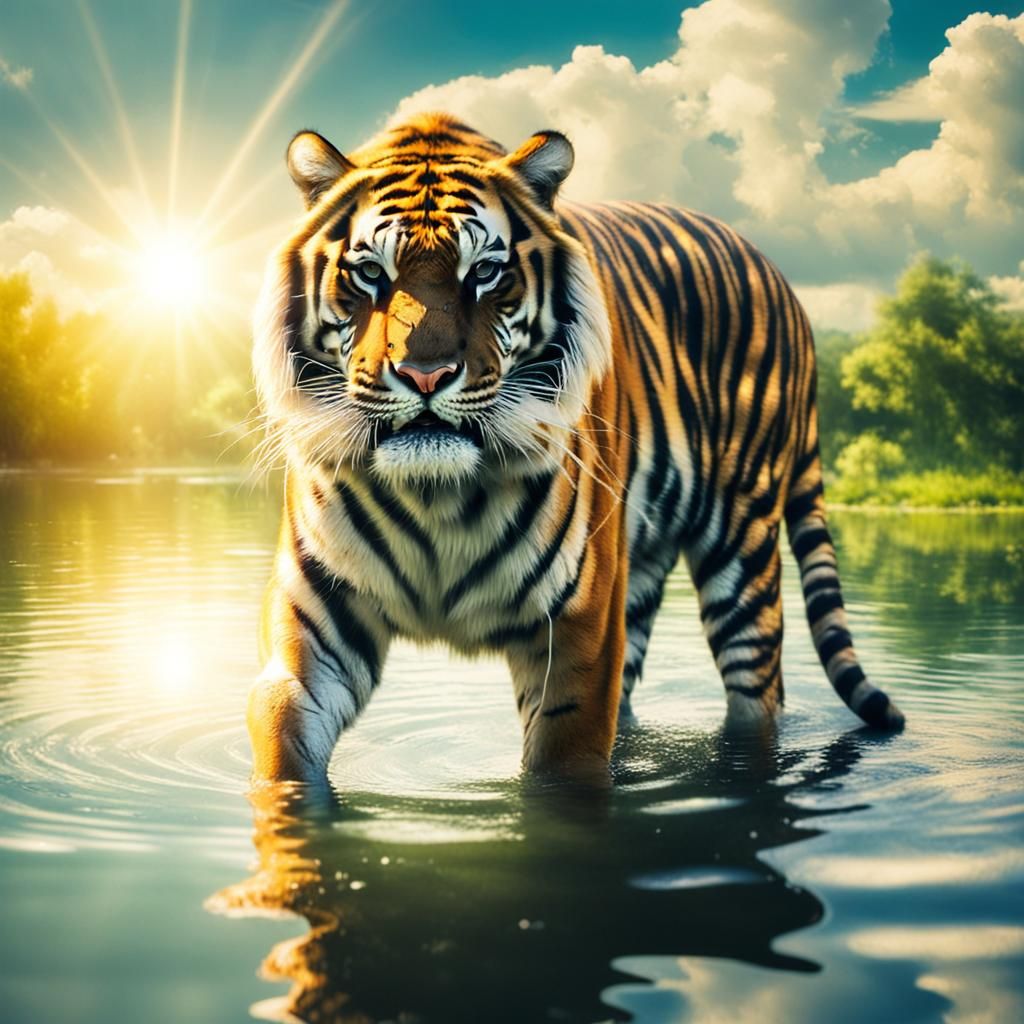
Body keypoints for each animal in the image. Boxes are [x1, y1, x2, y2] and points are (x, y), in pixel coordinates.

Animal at [248, 112, 904, 784]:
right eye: (371, 273)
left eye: (483, 272)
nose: (425, 375)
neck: (437, 495)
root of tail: (778, 276)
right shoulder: (317, 617)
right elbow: (283, 742)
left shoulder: (578, 628)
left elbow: (561, 770)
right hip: (639, 577)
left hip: (742, 555)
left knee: (758, 696)